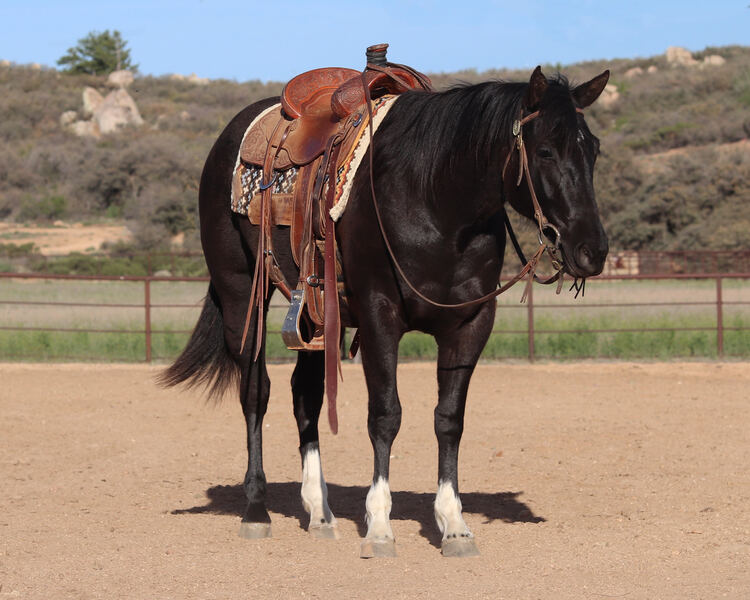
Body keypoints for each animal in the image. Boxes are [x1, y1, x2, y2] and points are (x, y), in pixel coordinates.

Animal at [161, 65, 610, 557]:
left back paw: (320, 514)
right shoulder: (380, 317)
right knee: (256, 391)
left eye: (593, 150)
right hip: (242, 295)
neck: (434, 197)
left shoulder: (471, 324)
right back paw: (257, 510)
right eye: (546, 150)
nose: (592, 251)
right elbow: (385, 415)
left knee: (305, 397)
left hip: (317, 318)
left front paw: (454, 525)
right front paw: (379, 526)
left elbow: (449, 419)